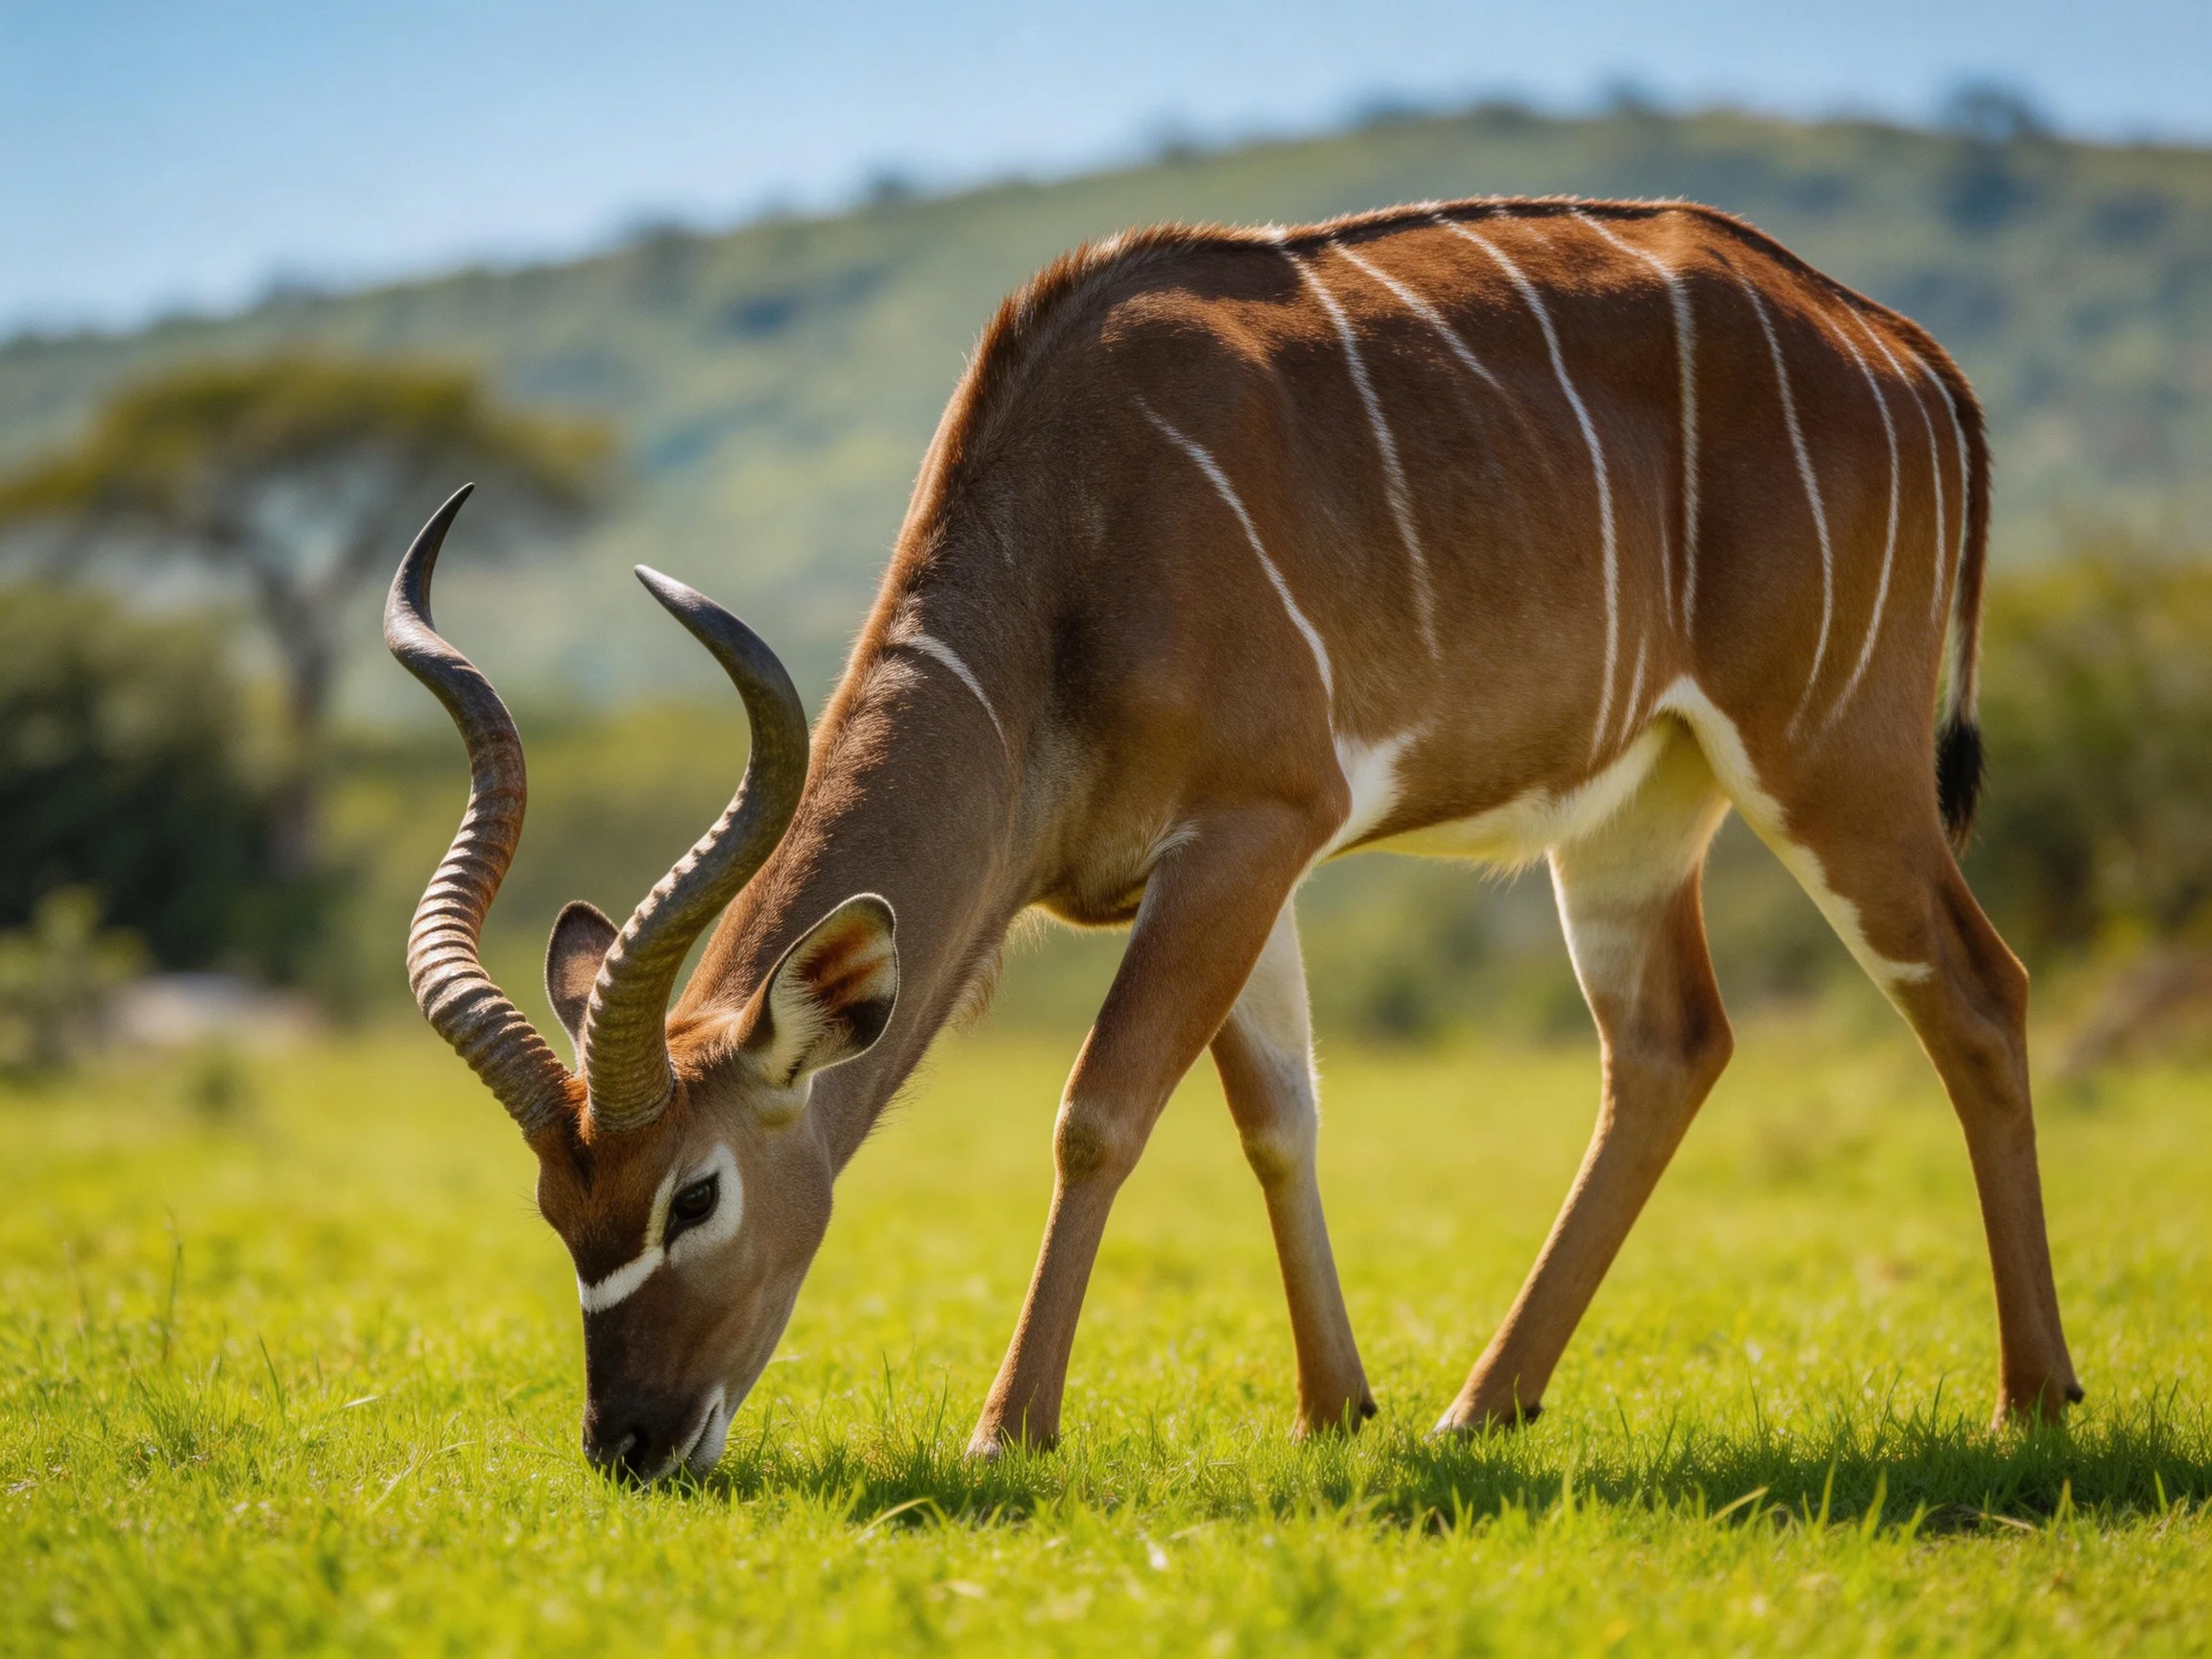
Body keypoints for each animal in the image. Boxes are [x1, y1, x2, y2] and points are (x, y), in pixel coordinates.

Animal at [389, 197, 2081, 1483]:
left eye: (696, 1196)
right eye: (559, 1209)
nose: (631, 1441)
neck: (1064, 547)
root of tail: (1901, 353)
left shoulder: (1250, 832)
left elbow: (1100, 1114)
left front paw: (1008, 1431)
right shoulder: (1235, 873)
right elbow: (1279, 1117)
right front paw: (1342, 1410)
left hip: (1833, 766)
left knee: (1977, 993)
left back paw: (2033, 1398)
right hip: (1636, 815)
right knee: (1669, 1047)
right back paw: (1482, 1406)